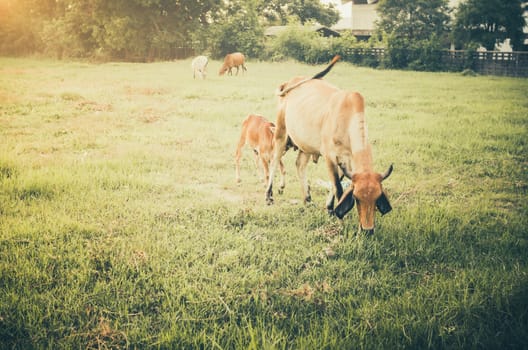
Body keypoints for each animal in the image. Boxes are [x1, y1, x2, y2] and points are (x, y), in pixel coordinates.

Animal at [264, 56, 392, 234]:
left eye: (377, 197)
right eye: (356, 198)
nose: (368, 230)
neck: (347, 121)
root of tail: (290, 82)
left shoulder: (347, 162)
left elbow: (335, 183)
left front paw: (330, 209)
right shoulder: (330, 157)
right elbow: (338, 187)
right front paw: (340, 220)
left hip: (305, 145)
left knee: (300, 165)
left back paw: (308, 199)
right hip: (281, 134)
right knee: (274, 161)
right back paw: (269, 196)